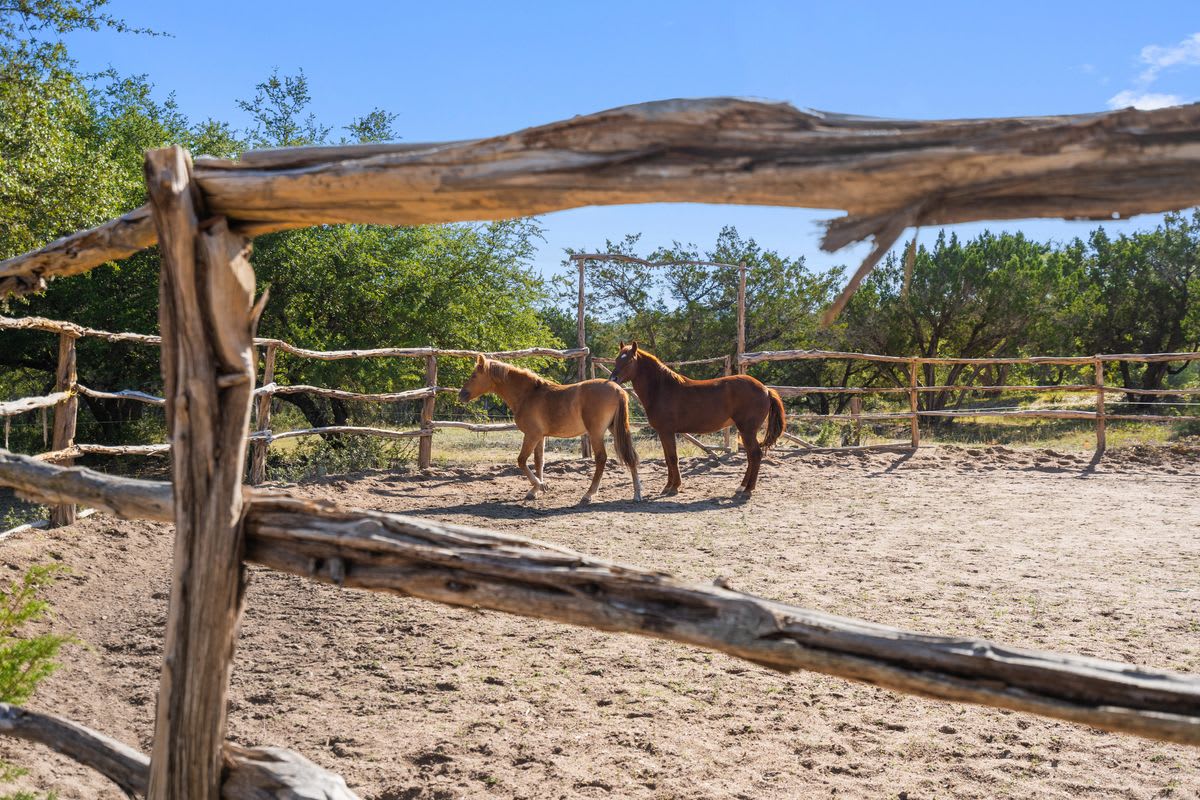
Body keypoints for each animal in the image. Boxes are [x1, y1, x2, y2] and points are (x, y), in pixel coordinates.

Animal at [458, 357, 648, 506]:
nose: (461, 394)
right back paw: (637, 494)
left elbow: (521, 461)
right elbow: (538, 462)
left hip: (596, 433)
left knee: (601, 459)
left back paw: (588, 495)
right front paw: (535, 490)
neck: (528, 394)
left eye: (474, 375)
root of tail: (618, 390)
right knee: (631, 456)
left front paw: (540, 486)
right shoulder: (540, 437)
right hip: (615, 429)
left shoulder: (531, 435)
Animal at [609, 343, 787, 496]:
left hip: (747, 430)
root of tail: (766, 389)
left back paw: (748, 489)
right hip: (746, 431)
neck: (661, 389)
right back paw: (742, 487)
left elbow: (672, 458)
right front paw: (669, 486)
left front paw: (673, 487)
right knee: (751, 456)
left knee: (755, 455)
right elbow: (667, 458)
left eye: (629, 360)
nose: (613, 379)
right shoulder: (663, 433)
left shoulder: (667, 432)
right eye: (617, 359)